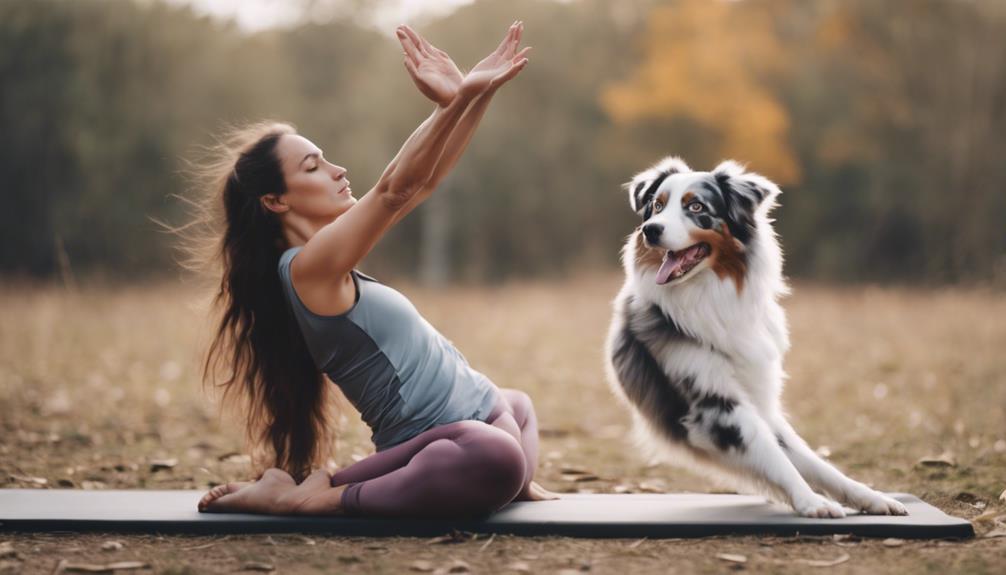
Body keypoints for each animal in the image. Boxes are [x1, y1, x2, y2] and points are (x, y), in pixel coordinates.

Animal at [603, 155, 913, 514]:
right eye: (656, 206)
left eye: (696, 206)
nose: (650, 230)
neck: (710, 292)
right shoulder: (717, 406)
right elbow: (776, 458)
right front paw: (811, 501)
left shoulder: (758, 398)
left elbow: (811, 460)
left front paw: (870, 497)